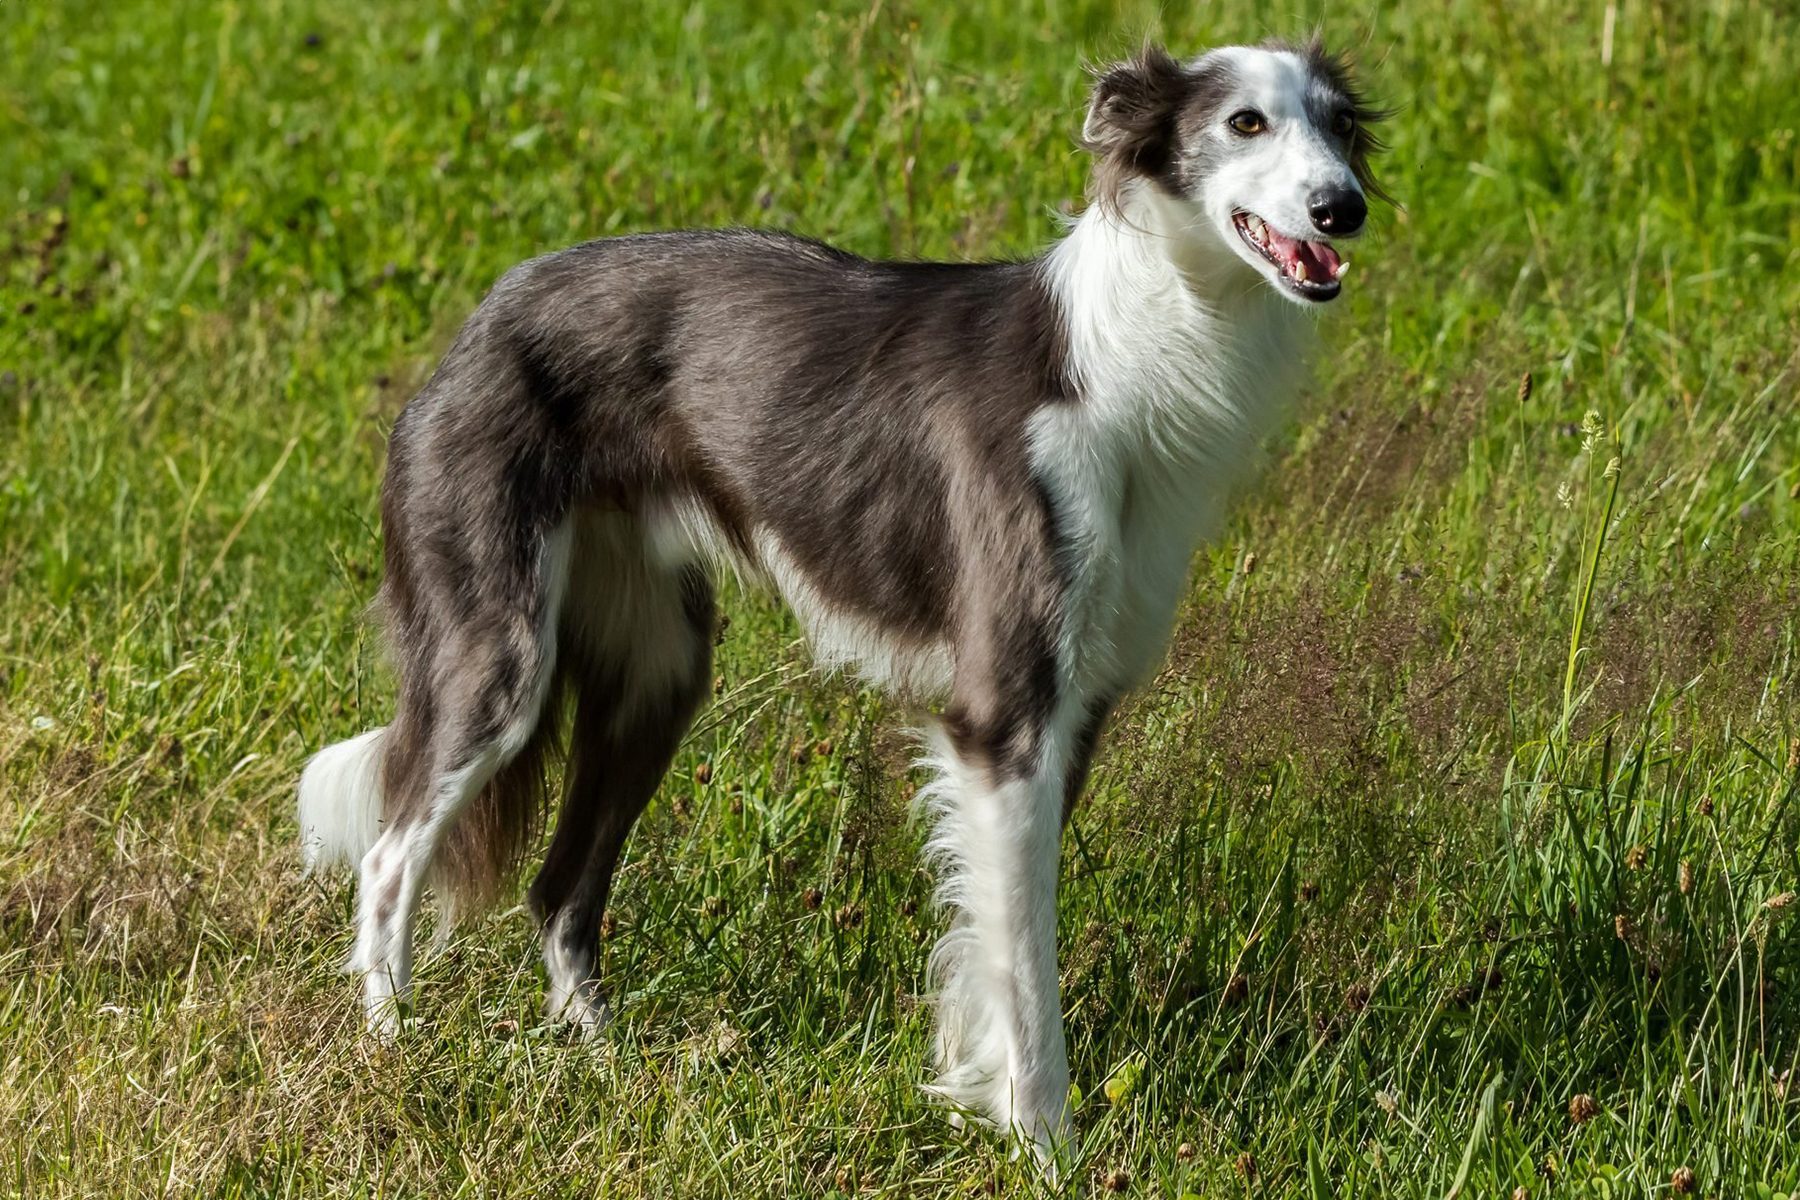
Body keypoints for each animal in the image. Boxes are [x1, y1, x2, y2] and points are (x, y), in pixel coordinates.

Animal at [295, 35, 1389, 1165]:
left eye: (1341, 124)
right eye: (1245, 122)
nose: (1343, 209)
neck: (1126, 352)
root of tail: (476, 327)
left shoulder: (1074, 711)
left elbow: (993, 940)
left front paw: (970, 1088)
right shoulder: (1005, 715)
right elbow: (1025, 969)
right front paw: (1042, 1144)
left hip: (658, 675)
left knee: (557, 893)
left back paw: (608, 1067)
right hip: (498, 664)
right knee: (388, 858)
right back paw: (393, 1047)